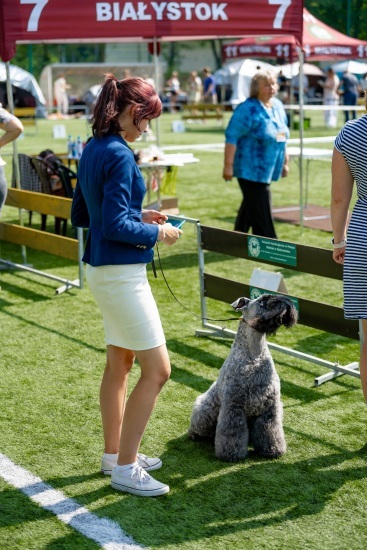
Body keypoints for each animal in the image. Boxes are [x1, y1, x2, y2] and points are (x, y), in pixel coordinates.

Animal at [190, 296, 300, 464]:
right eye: (262, 300)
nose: (287, 304)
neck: (254, 357)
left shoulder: (271, 407)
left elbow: (270, 430)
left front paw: (273, 449)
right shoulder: (233, 407)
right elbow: (232, 434)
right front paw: (231, 454)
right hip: (205, 410)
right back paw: (194, 434)